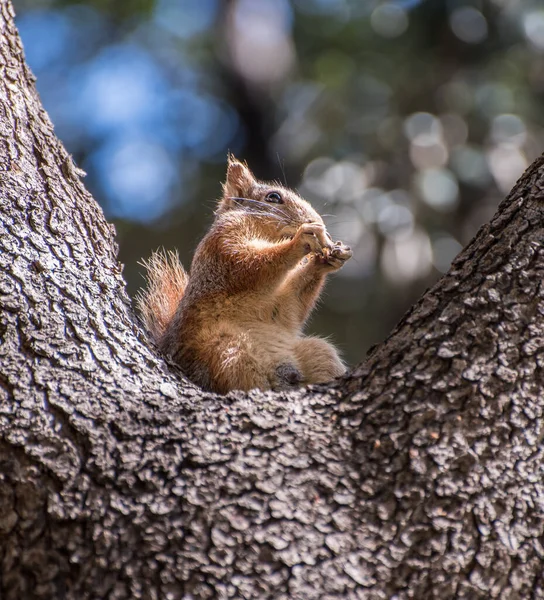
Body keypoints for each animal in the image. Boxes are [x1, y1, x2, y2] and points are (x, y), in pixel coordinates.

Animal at [137, 155, 352, 394]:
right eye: (273, 197)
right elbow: (250, 264)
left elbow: (290, 306)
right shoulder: (223, 248)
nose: (317, 221)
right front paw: (302, 239)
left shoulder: (276, 307)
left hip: (319, 353)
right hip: (227, 350)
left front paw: (326, 260)